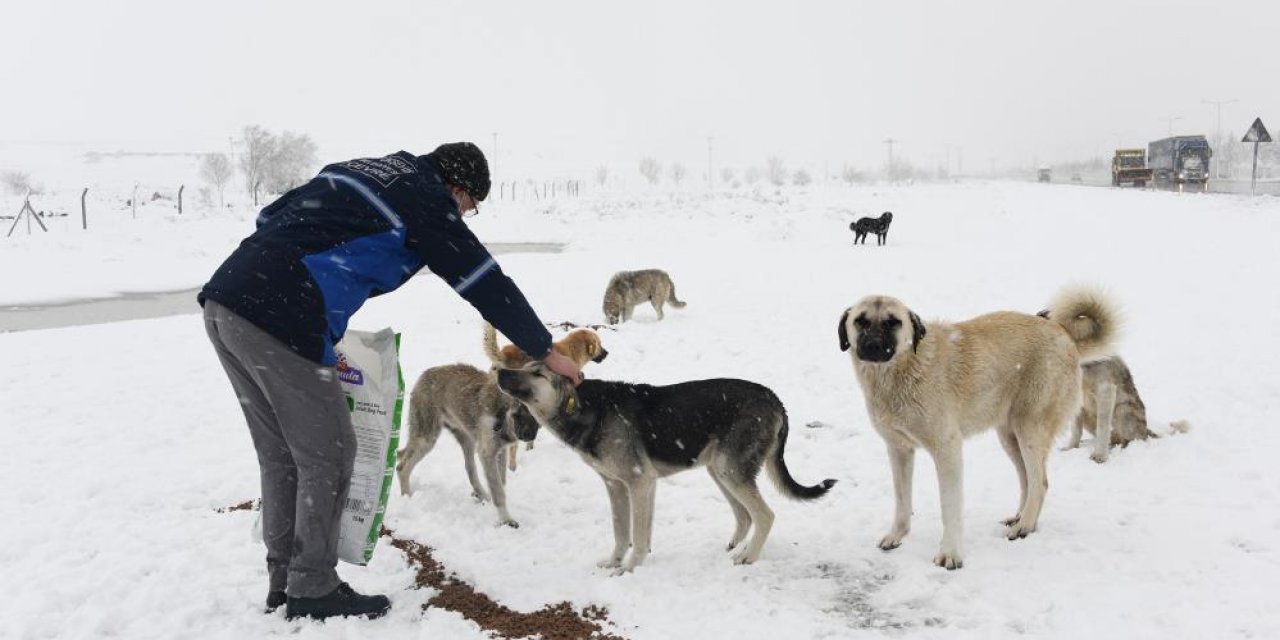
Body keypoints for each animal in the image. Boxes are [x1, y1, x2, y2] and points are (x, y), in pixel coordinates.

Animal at [399, 363, 540, 527]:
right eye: (520, 412)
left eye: (537, 416)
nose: (528, 435)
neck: (503, 411)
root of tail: (426, 373)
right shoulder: (487, 453)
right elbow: (498, 490)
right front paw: (506, 519)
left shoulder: (499, 452)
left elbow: (501, 482)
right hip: (426, 439)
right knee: (401, 467)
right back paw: (407, 498)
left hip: (467, 441)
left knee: (470, 469)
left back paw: (482, 495)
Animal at [491, 366, 839, 576]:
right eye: (525, 365)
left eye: (537, 372)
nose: (500, 370)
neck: (586, 409)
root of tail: (776, 400)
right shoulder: (619, 486)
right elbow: (624, 533)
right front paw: (616, 562)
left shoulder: (638, 483)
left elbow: (636, 534)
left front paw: (629, 570)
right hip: (719, 470)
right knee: (745, 515)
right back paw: (736, 546)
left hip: (730, 470)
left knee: (765, 515)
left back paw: (748, 557)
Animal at [834, 288, 1116, 568]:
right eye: (860, 321)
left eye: (893, 322)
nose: (874, 345)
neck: (901, 371)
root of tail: (1064, 333)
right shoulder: (899, 449)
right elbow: (902, 500)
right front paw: (897, 536)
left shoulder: (947, 449)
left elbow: (950, 508)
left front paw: (950, 554)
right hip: (1010, 437)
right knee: (1027, 479)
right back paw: (1021, 519)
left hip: (1030, 431)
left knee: (1040, 483)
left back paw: (1023, 527)